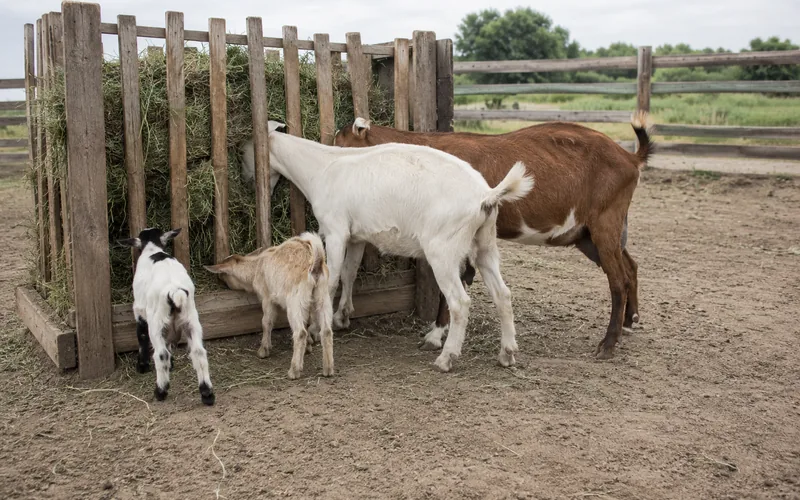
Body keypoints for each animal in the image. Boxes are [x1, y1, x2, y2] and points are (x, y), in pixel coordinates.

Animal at [118, 228, 215, 405]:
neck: (152, 249)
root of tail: (174, 291)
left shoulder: (140, 311)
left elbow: (142, 337)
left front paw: (142, 366)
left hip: (157, 322)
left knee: (161, 354)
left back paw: (160, 391)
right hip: (191, 320)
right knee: (199, 352)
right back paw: (207, 393)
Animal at [204, 232, 334, 380]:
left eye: (223, 276)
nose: (220, 283)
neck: (256, 267)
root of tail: (315, 263)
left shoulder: (266, 297)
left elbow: (267, 322)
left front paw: (263, 350)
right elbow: (307, 322)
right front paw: (308, 348)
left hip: (295, 301)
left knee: (300, 332)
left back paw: (294, 371)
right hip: (322, 296)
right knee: (326, 331)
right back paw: (328, 369)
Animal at [242, 120, 534, 372]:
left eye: (245, 151)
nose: (247, 180)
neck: (321, 168)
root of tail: (487, 195)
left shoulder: (335, 231)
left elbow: (331, 281)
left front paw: (316, 328)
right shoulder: (356, 236)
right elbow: (349, 273)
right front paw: (343, 316)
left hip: (443, 249)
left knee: (460, 302)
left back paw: (446, 357)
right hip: (485, 244)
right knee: (503, 295)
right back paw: (507, 353)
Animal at [334, 113, 653, 359]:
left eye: (340, 145)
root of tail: (630, 157)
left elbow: (458, 282)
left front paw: (435, 336)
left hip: (605, 222)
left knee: (617, 280)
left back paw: (608, 344)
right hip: (586, 234)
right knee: (630, 267)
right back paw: (630, 321)